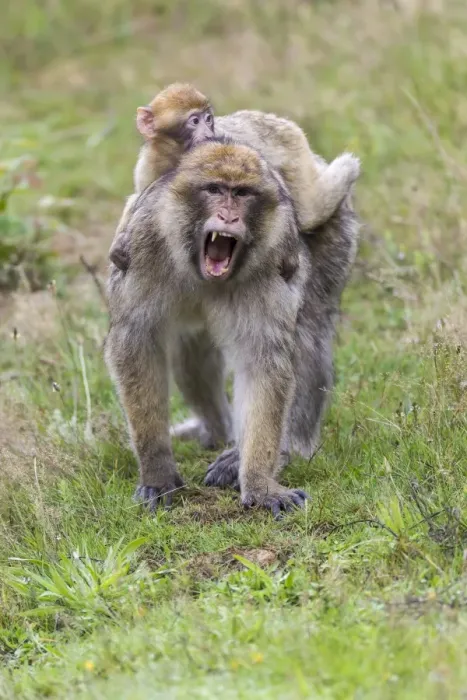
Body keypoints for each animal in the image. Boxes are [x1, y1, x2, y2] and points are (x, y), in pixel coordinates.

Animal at [104, 137, 360, 517]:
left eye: (241, 193)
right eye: (214, 190)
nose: (228, 216)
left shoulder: (272, 262)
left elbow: (262, 361)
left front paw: (259, 482)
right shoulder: (141, 247)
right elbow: (137, 344)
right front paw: (157, 473)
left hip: (333, 230)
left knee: (307, 334)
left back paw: (286, 448)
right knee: (190, 350)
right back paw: (217, 431)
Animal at [108, 82, 360, 271]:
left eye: (208, 118)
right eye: (194, 121)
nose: (208, 131)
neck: (177, 155)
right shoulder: (148, 166)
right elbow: (140, 198)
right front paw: (119, 244)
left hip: (291, 143)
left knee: (309, 212)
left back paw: (347, 169)